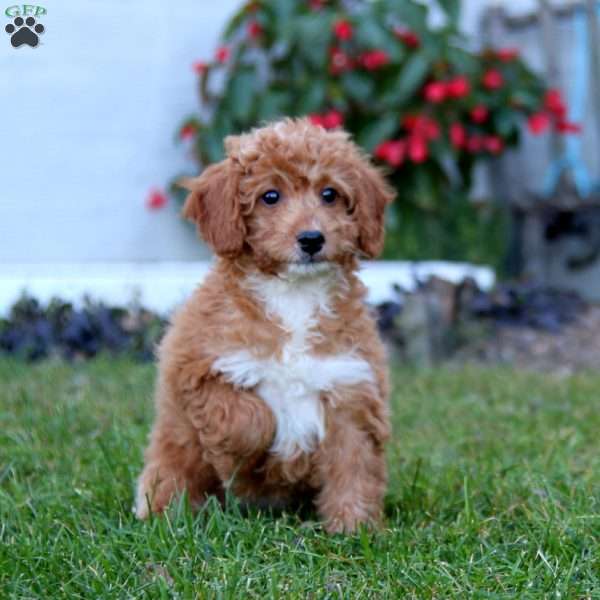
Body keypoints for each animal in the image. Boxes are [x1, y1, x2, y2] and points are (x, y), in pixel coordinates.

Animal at [134, 118, 396, 536]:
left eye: (330, 194)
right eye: (270, 196)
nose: (311, 239)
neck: (294, 295)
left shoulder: (351, 390)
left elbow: (354, 465)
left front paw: (354, 528)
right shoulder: (198, 370)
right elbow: (249, 417)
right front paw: (244, 461)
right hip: (173, 453)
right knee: (169, 478)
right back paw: (169, 515)